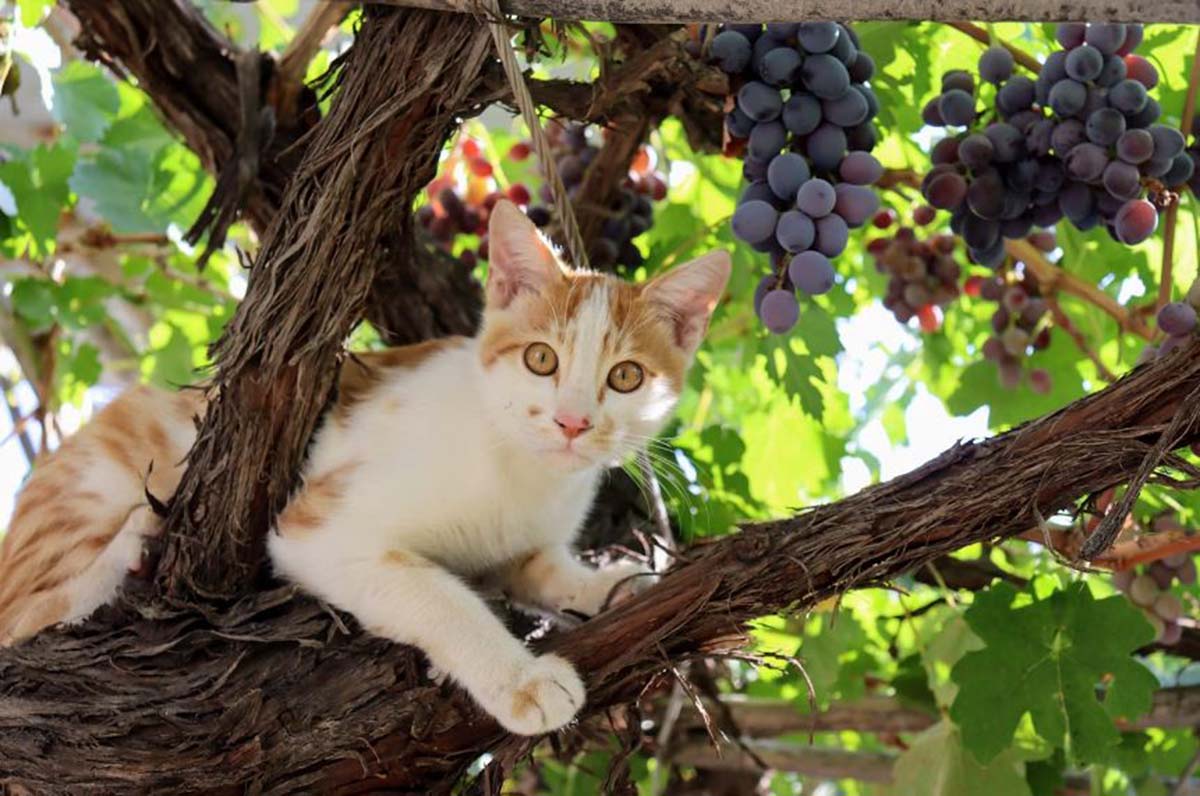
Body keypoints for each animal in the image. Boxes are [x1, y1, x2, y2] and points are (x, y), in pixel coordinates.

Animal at [0, 202, 729, 739]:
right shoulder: (317, 531)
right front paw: (520, 680)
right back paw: (131, 546)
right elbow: (435, 593)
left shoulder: (520, 544)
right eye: (541, 360)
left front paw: (612, 584)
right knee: (25, 610)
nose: (572, 423)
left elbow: (539, 570)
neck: (520, 468)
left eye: (625, 376)